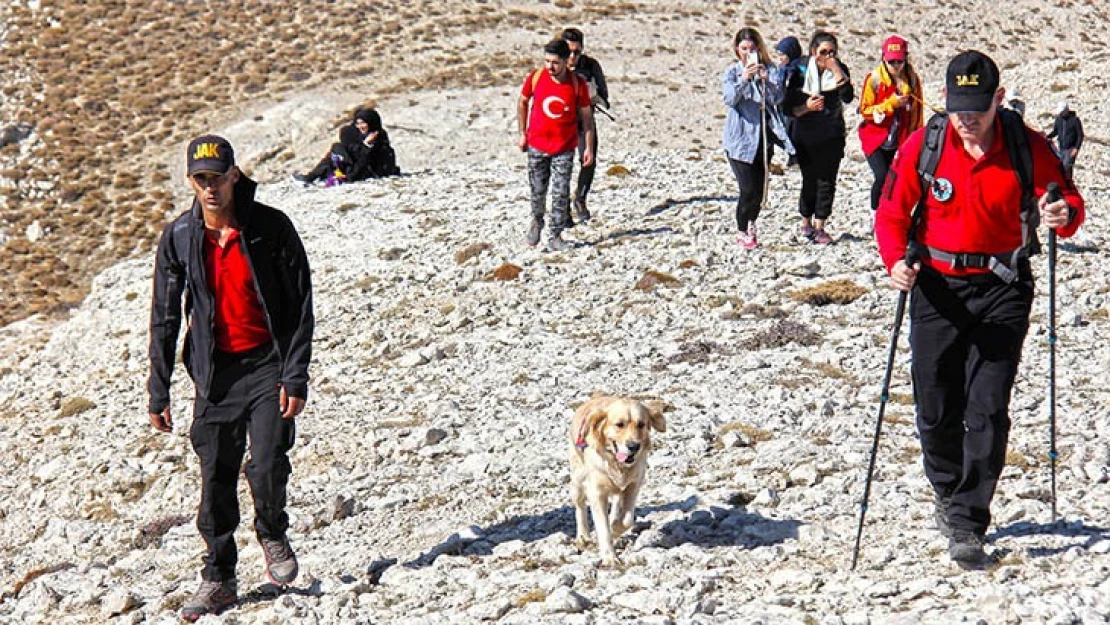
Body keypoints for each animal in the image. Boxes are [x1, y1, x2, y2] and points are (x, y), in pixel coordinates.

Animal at [568, 395, 661, 568]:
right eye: (619, 424)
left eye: (641, 424)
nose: (633, 446)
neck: (617, 464)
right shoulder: (596, 492)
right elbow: (603, 528)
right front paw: (609, 557)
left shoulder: (633, 485)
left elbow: (627, 519)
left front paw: (616, 529)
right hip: (577, 480)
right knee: (580, 506)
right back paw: (583, 536)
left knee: (617, 504)